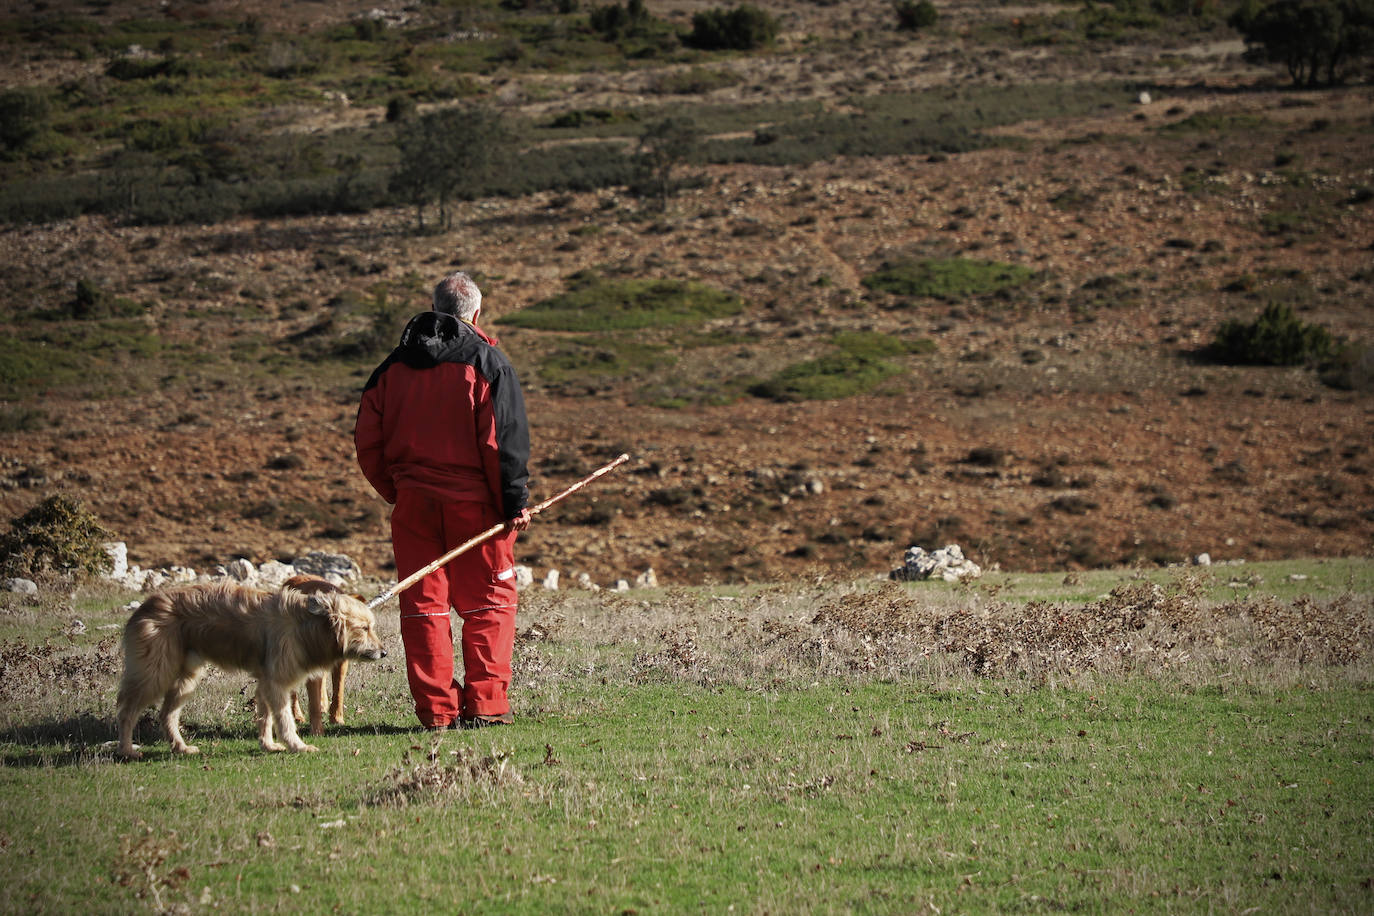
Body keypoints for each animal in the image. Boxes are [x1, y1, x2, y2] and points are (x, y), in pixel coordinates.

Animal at [116, 579, 387, 758]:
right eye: (364, 628)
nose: (384, 653)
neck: (306, 625)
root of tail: (145, 606)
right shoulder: (276, 683)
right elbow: (284, 719)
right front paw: (297, 746)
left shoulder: (265, 683)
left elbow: (265, 717)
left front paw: (268, 745)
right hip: (155, 672)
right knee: (127, 710)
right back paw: (127, 750)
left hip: (186, 678)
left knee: (166, 714)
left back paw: (180, 747)